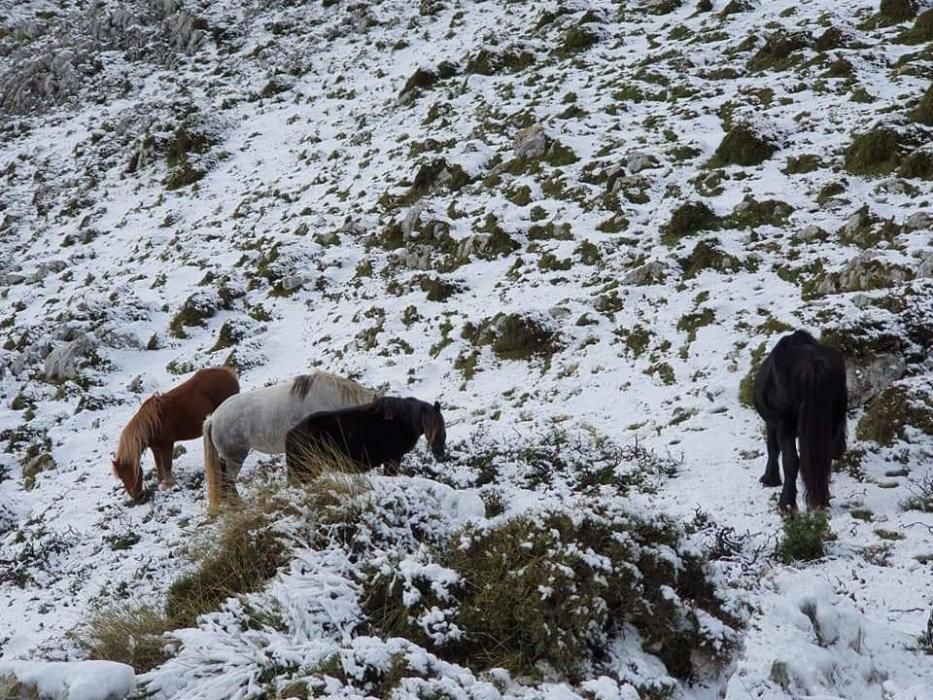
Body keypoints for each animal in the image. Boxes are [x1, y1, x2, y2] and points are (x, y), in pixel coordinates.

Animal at [112, 366, 238, 498]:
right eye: (121, 477)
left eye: (127, 473)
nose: (136, 495)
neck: (153, 424)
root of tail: (228, 373)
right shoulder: (156, 449)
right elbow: (159, 466)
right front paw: (160, 483)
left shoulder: (167, 445)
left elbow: (167, 466)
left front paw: (169, 485)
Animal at [748, 330, 844, 512]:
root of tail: (812, 364)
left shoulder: (774, 423)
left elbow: (772, 448)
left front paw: (770, 479)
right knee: (823, 459)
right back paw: (822, 500)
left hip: (786, 423)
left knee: (791, 460)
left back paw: (786, 502)